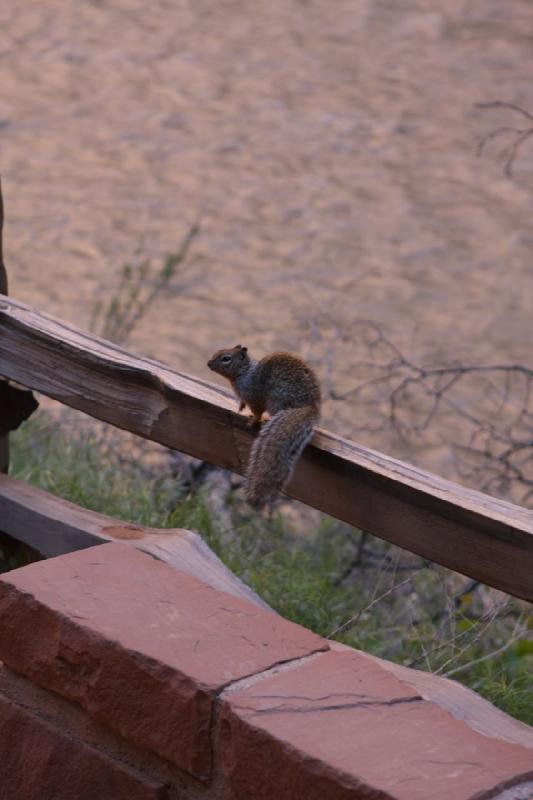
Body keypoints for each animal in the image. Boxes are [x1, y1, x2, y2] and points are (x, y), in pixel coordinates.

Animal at [207, 344, 320, 506]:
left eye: (226, 359)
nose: (208, 363)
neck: (245, 373)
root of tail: (310, 407)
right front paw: (241, 406)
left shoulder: (253, 395)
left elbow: (257, 411)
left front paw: (253, 420)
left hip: (277, 400)